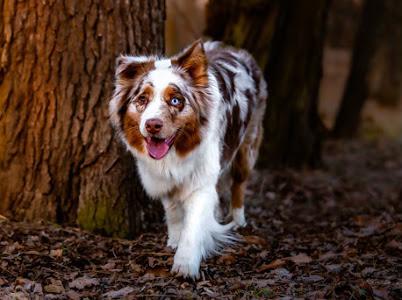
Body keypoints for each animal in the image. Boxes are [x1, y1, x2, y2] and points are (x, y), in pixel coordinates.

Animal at [109, 39, 266, 278]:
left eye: (175, 100)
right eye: (142, 99)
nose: (152, 125)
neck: (175, 153)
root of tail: (232, 48)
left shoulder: (201, 183)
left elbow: (193, 225)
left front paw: (185, 264)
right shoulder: (165, 181)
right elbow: (173, 212)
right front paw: (174, 239)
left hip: (248, 144)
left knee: (239, 183)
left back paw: (238, 219)